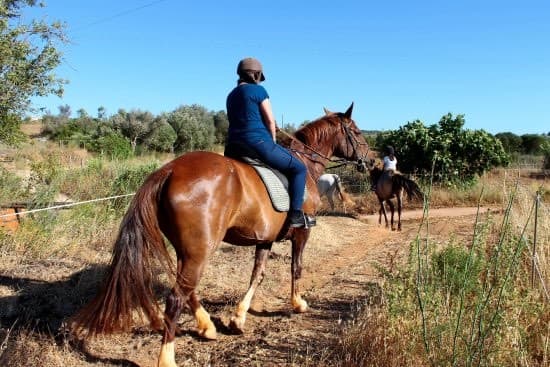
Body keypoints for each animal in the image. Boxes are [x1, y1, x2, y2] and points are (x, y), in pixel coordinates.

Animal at [70, 102, 370, 366]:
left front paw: (238, 319)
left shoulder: (265, 239)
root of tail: (169, 170)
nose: (369, 160)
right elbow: (296, 268)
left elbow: (257, 275)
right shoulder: (301, 234)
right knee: (176, 297)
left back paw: (207, 327)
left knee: (187, 288)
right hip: (201, 249)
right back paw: (168, 359)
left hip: (189, 249)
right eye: (356, 131)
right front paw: (298, 304)